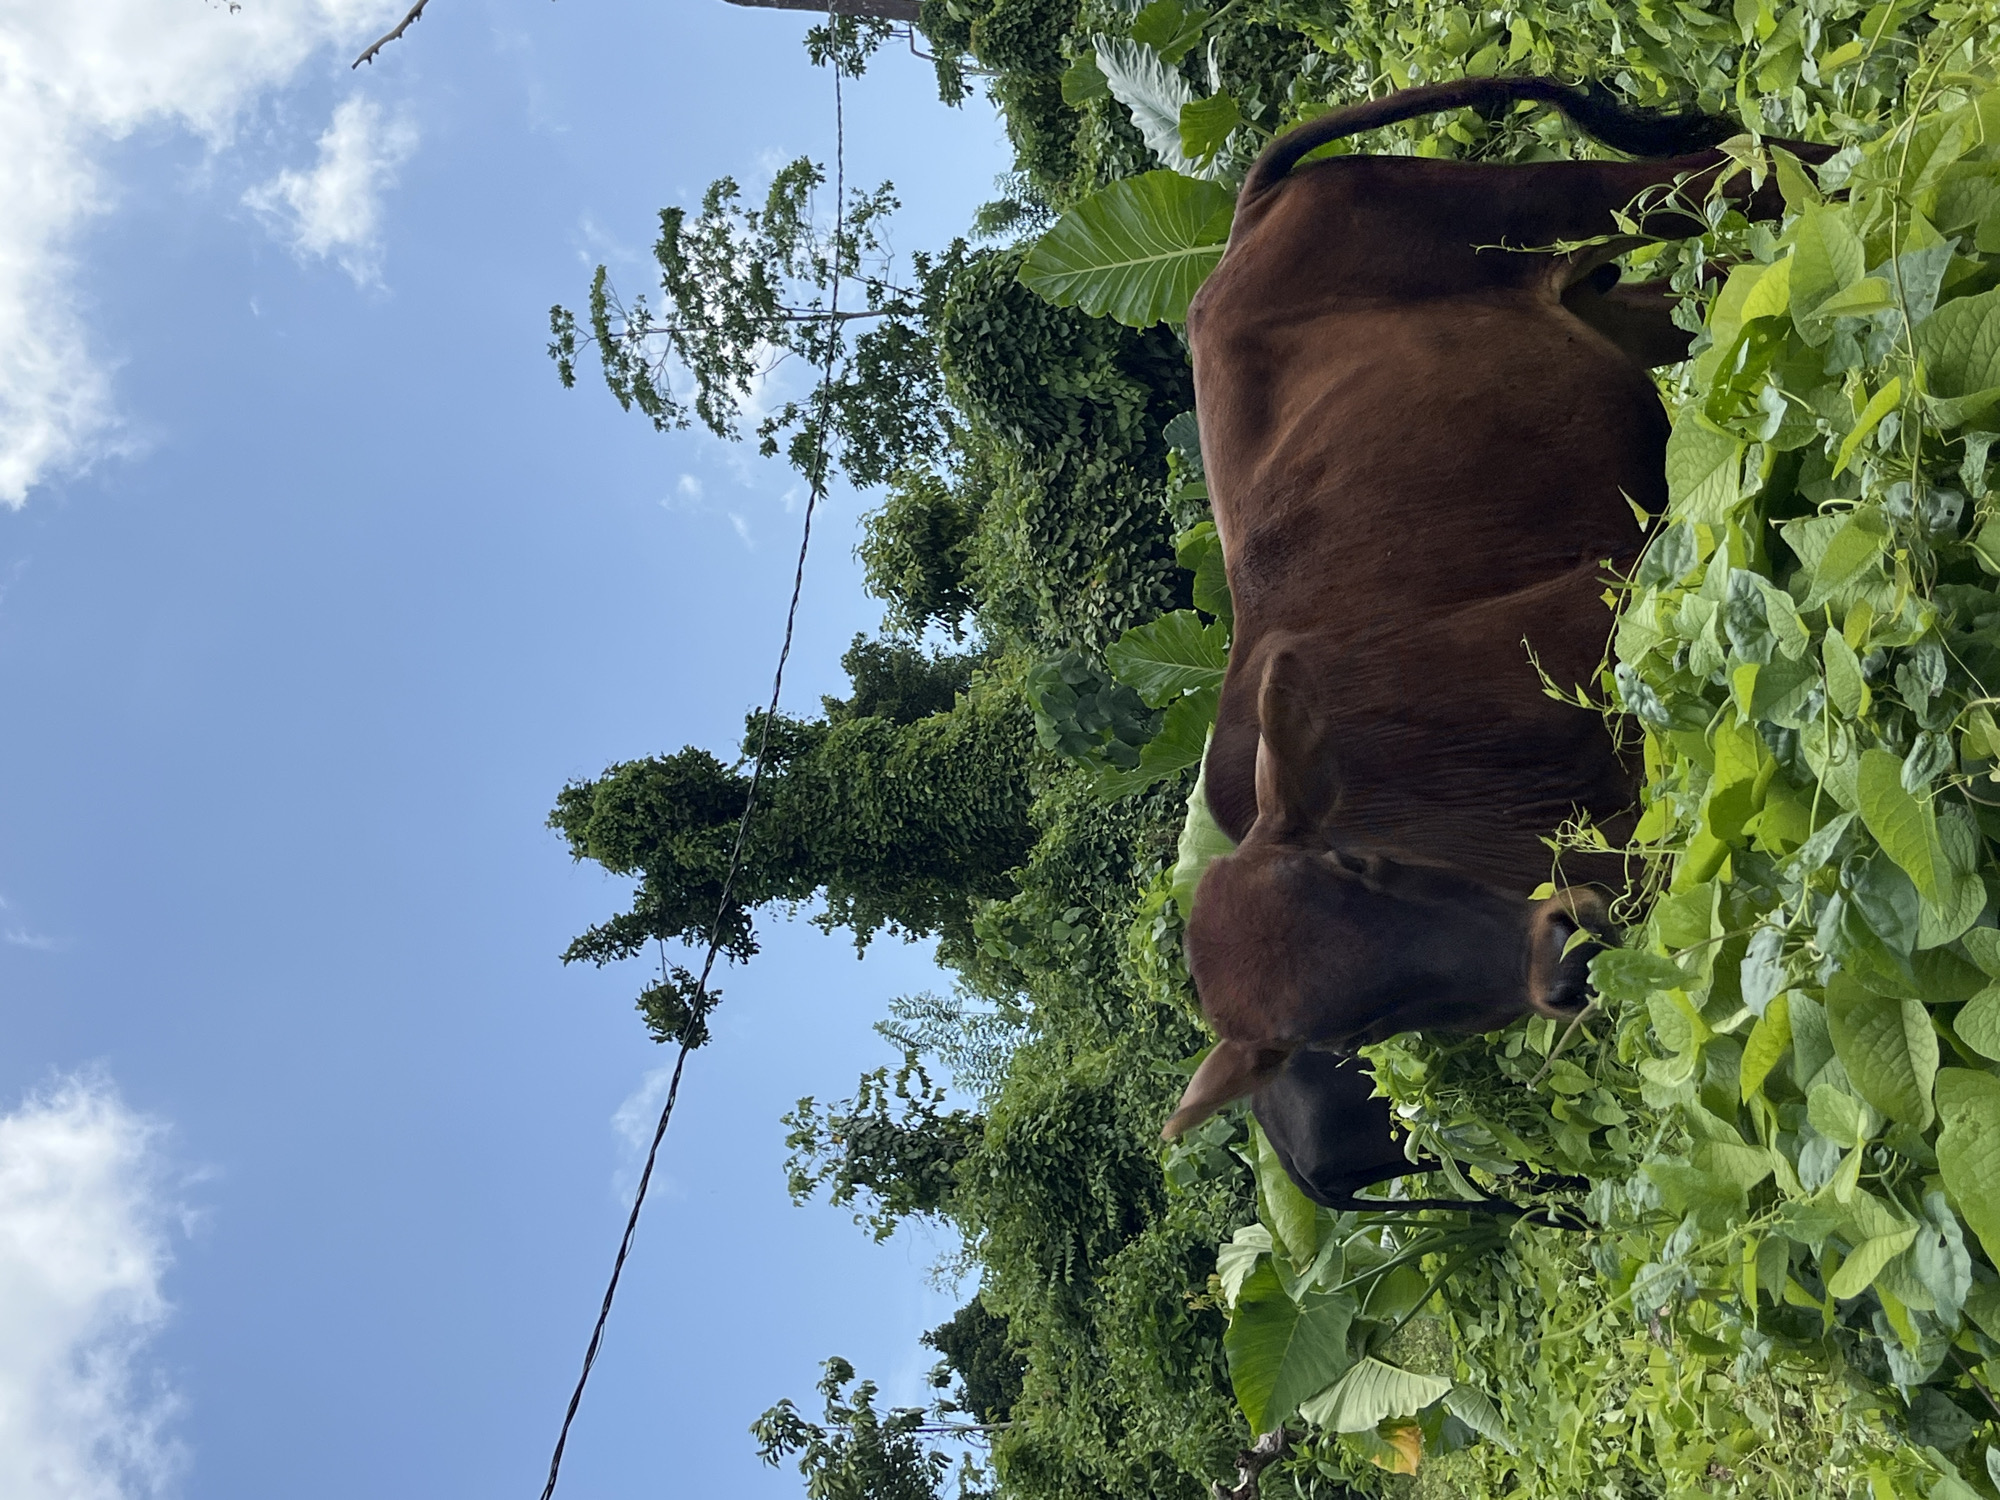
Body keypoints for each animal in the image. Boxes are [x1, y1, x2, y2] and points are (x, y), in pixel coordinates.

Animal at [1164, 76, 1829, 1145]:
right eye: (1349, 1033)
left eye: (1361, 864)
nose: (1565, 963)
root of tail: (1247, 216)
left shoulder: (1632, 601)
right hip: (1608, 302)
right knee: (1725, 269)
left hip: (1563, 200)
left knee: (1743, 169)